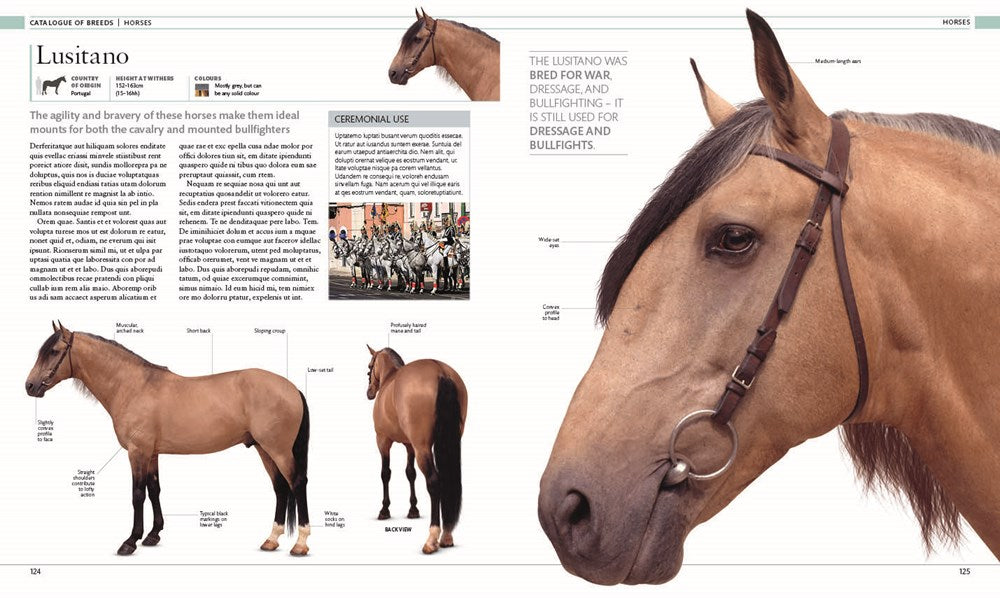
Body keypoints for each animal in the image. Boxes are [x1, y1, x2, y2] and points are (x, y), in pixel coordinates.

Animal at [24, 322, 312, 556]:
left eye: (53, 351)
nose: (29, 386)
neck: (133, 386)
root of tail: (292, 388)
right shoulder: (151, 453)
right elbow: (154, 490)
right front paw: (153, 535)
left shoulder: (137, 452)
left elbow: (137, 494)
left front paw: (130, 541)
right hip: (264, 449)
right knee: (280, 488)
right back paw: (271, 540)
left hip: (278, 450)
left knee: (297, 484)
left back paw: (300, 545)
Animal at [366, 345, 467, 554]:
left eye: (370, 366)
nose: (369, 392)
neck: (389, 378)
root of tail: (441, 372)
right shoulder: (409, 445)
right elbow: (410, 473)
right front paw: (413, 510)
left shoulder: (383, 441)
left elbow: (385, 473)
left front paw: (384, 510)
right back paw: (447, 536)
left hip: (423, 448)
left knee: (434, 482)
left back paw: (432, 539)